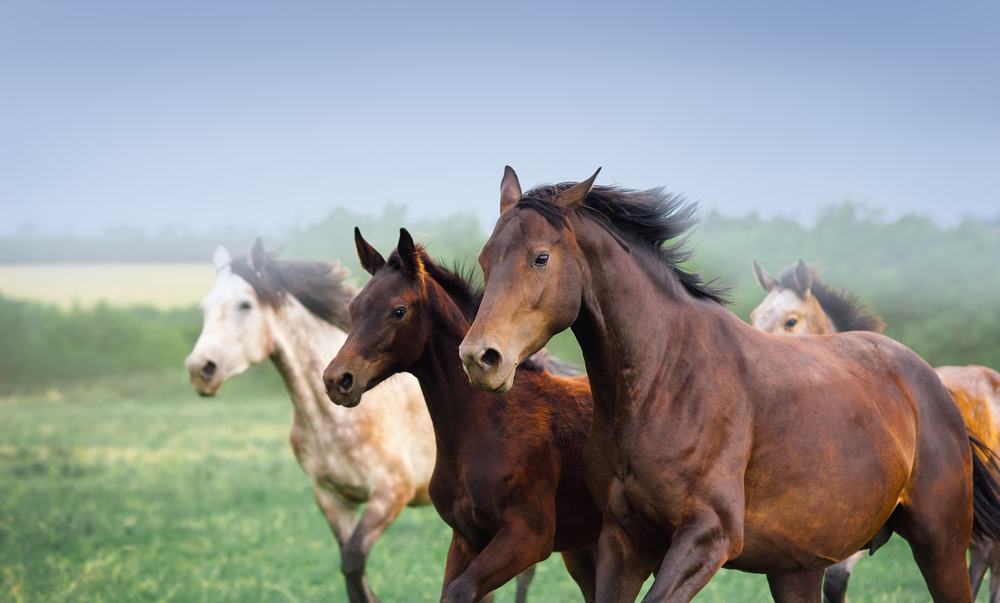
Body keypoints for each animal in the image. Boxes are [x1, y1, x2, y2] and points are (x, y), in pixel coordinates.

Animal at [186, 241, 436, 603]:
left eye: (245, 305)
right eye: (205, 307)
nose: (199, 369)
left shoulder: (391, 493)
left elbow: (353, 562)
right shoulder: (333, 498)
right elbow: (352, 573)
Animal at [324, 230, 600, 603]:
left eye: (399, 311)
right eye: (353, 307)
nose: (337, 380)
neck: (484, 425)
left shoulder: (530, 536)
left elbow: (460, 591)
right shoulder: (465, 539)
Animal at [462, 168, 1000, 603]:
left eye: (540, 258)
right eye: (485, 258)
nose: (479, 358)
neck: (663, 381)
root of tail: (932, 385)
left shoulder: (708, 537)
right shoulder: (623, 538)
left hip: (940, 544)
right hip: (797, 569)